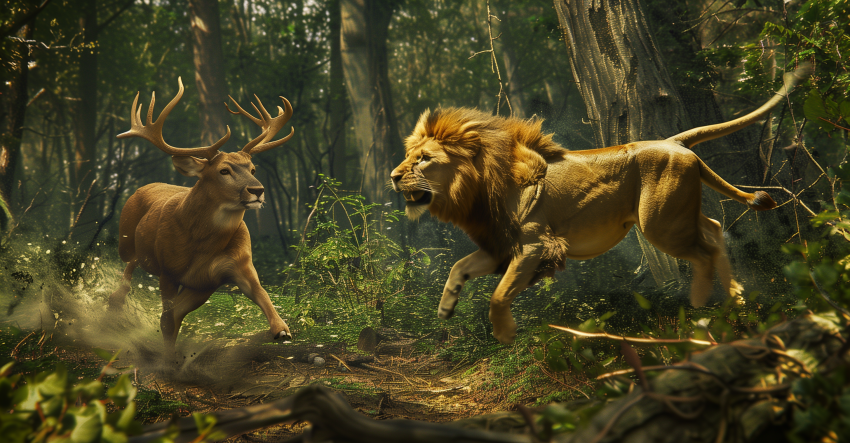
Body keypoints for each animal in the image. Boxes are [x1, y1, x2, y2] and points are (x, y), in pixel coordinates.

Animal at [108, 77, 294, 347]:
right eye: (224, 170)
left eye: (253, 169)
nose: (257, 190)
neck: (203, 244)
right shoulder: (168, 272)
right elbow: (167, 320)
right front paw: (167, 353)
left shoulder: (229, 269)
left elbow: (262, 294)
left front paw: (282, 330)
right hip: (126, 242)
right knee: (129, 266)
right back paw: (115, 302)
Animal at [390, 64, 811, 344]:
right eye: (410, 156)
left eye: (423, 159)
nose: (393, 176)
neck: (475, 189)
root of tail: (674, 142)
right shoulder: (500, 246)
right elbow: (459, 266)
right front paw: (445, 308)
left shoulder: (535, 244)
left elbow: (498, 294)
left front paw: (505, 333)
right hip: (677, 210)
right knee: (715, 229)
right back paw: (736, 298)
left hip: (659, 221)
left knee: (705, 249)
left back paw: (700, 302)